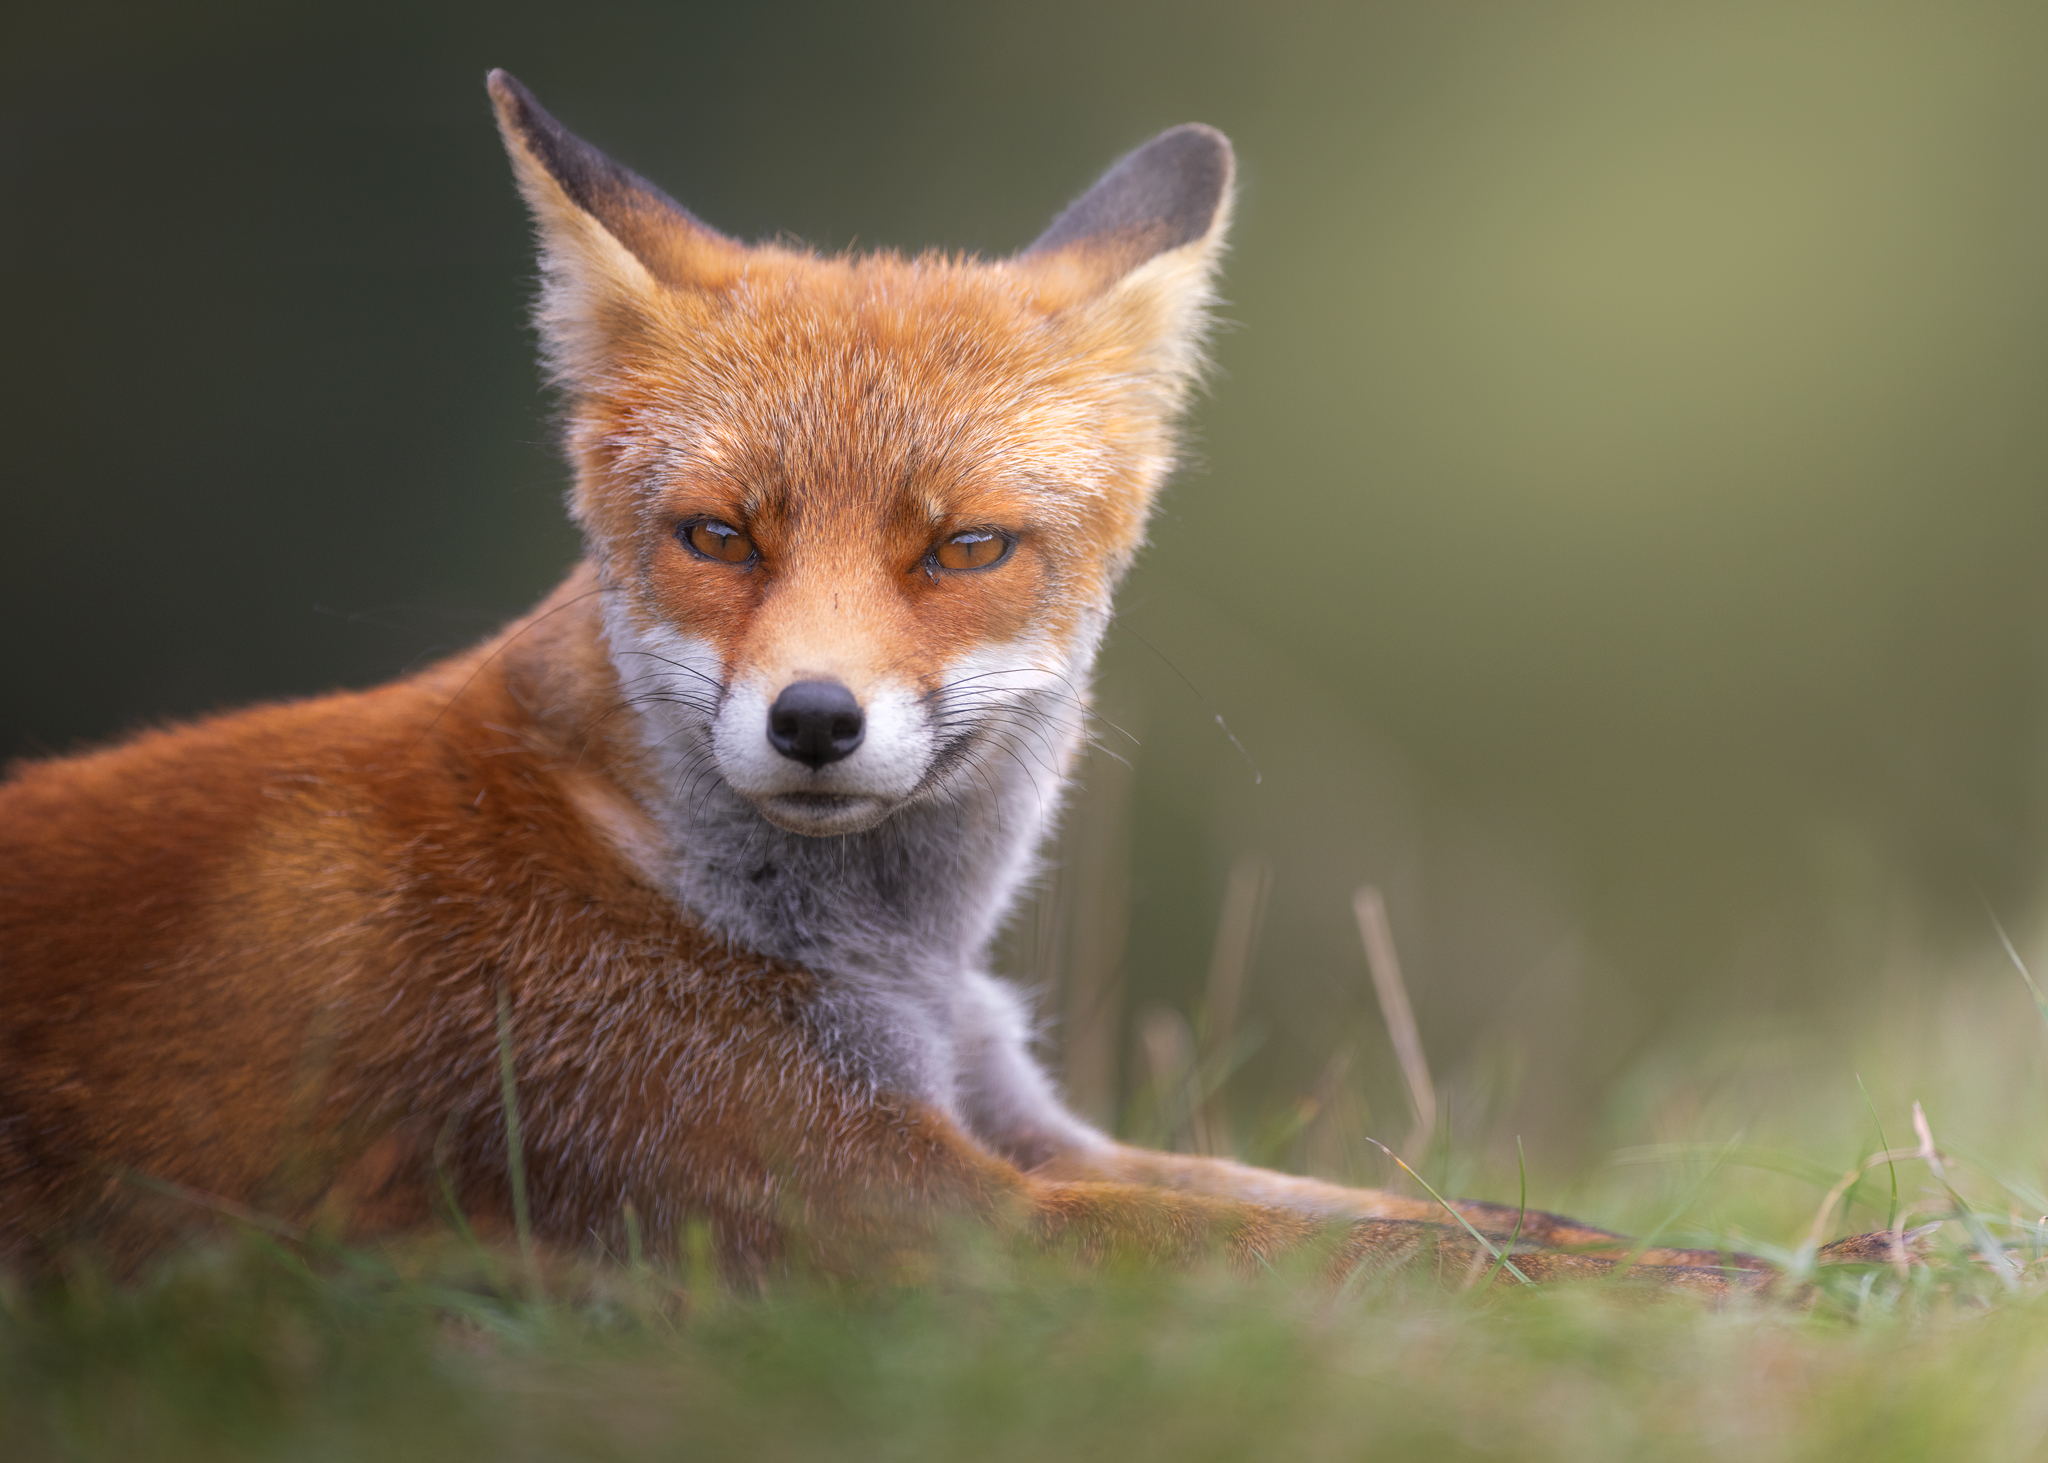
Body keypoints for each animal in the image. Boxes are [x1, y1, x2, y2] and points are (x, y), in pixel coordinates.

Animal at [0, 71, 1905, 1290]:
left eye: (965, 546)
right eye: (719, 535)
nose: (814, 718)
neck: (884, 962)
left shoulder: (1029, 1124)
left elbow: (1420, 1207)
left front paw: (1801, 1245)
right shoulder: (902, 1206)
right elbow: (1334, 1247)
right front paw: (1736, 1292)